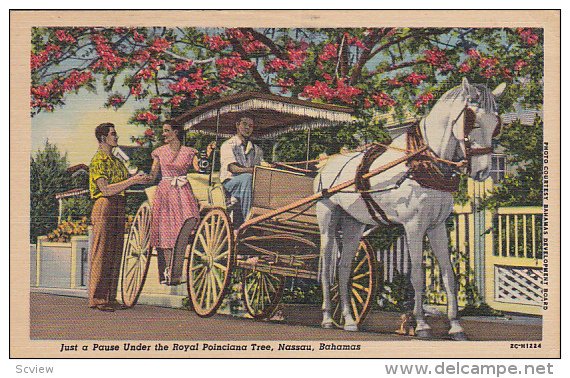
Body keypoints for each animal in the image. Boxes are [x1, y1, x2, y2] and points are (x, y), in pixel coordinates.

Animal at [312, 77, 504, 340]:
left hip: (354, 224)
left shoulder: (437, 226)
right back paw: (327, 318)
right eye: (471, 122)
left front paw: (455, 326)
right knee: (326, 268)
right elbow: (417, 274)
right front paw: (421, 324)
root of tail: (324, 166)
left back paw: (350, 320)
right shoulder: (413, 226)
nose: (483, 172)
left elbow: (448, 274)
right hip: (328, 222)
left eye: (496, 124)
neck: (423, 162)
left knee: (343, 270)